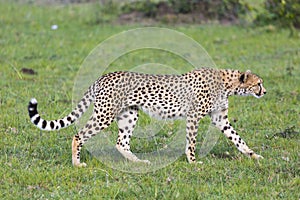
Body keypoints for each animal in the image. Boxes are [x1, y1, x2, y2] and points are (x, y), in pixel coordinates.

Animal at [28, 68, 266, 166]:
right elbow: (191, 143)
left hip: (129, 114)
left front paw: (254, 155)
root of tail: (104, 76)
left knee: (121, 143)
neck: (227, 84)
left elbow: (238, 139)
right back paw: (77, 164)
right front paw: (193, 162)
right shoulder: (194, 116)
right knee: (78, 135)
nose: (265, 91)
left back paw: (139, 162)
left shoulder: (220, 119)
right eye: (258, 83)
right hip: (105, 114)